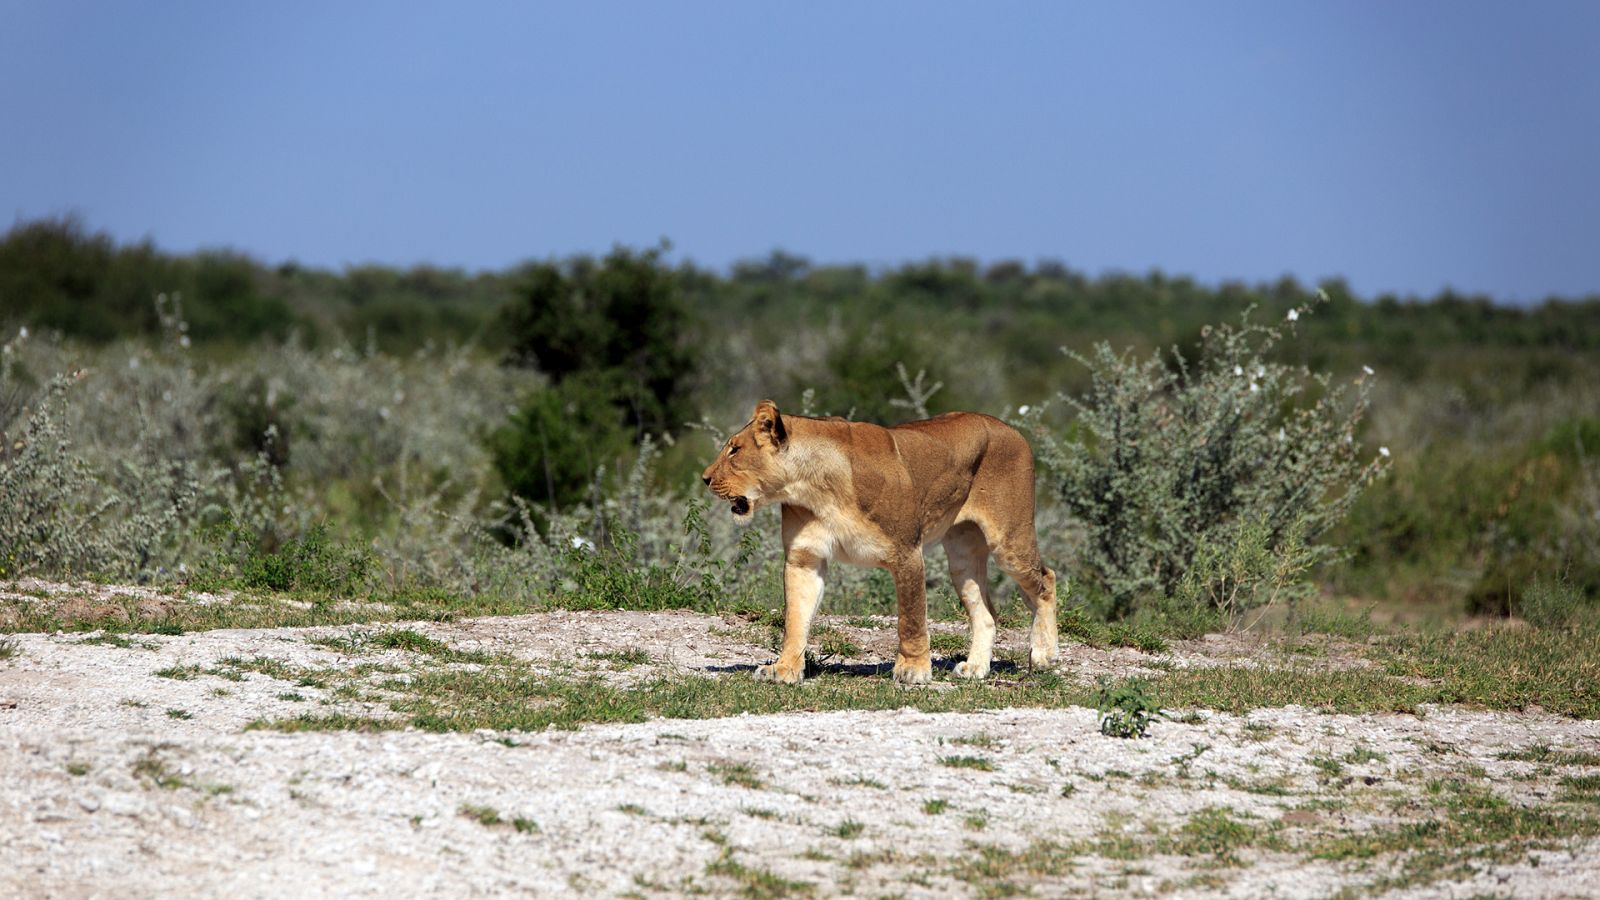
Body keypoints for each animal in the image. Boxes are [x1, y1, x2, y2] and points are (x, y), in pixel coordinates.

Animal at [701, 400, 1059, 685]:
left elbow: (911, 619)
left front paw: (913, 669)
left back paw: (1044, 655)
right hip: (963, 556)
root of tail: (1010, 429)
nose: (704, 478)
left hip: (1009, 541)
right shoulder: (804, 558)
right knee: (987, 612)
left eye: (734, 450)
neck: (814, 488)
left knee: (1046, 580)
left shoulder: (907, 552)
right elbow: (795, 621)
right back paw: (975, 668)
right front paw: (784, 669)